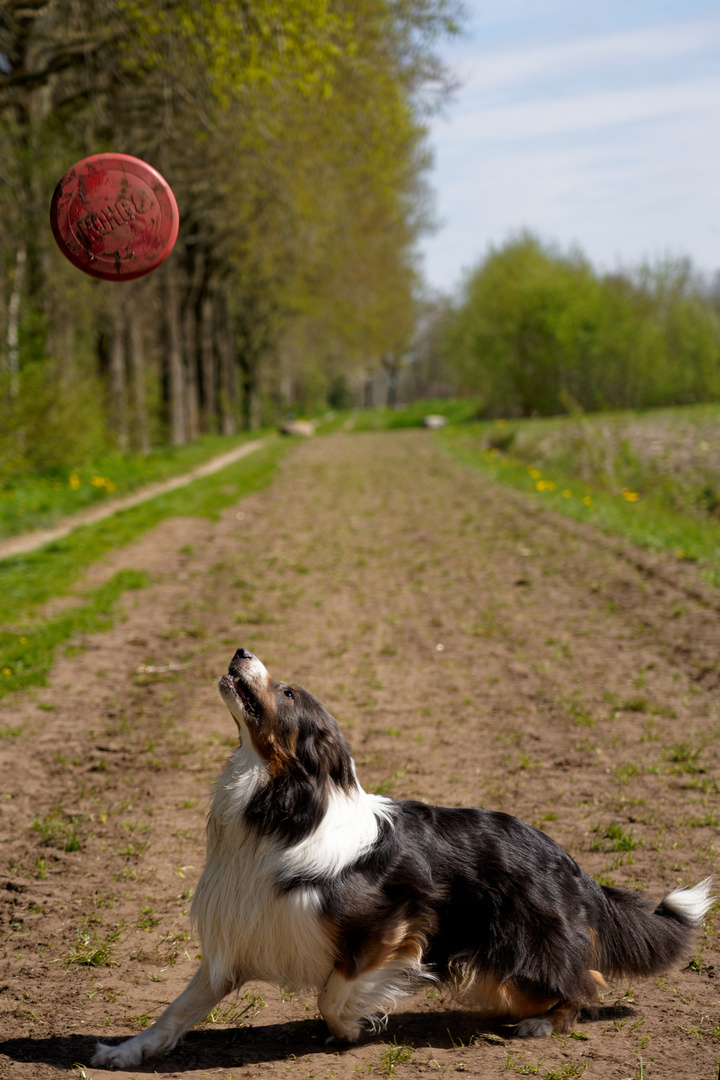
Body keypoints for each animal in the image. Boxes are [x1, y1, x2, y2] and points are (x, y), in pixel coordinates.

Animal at [94, 643, 716, 1067]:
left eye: (289, 692)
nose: (242, 649)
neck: (284, 807)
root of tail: (567, 858)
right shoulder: (240, 934)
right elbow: (176, 1010)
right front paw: (124, 1052)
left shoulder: (391, 926)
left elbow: (332, 993)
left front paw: (349, 1031)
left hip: (524, 945)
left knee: (587, 978)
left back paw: (540, 1026)